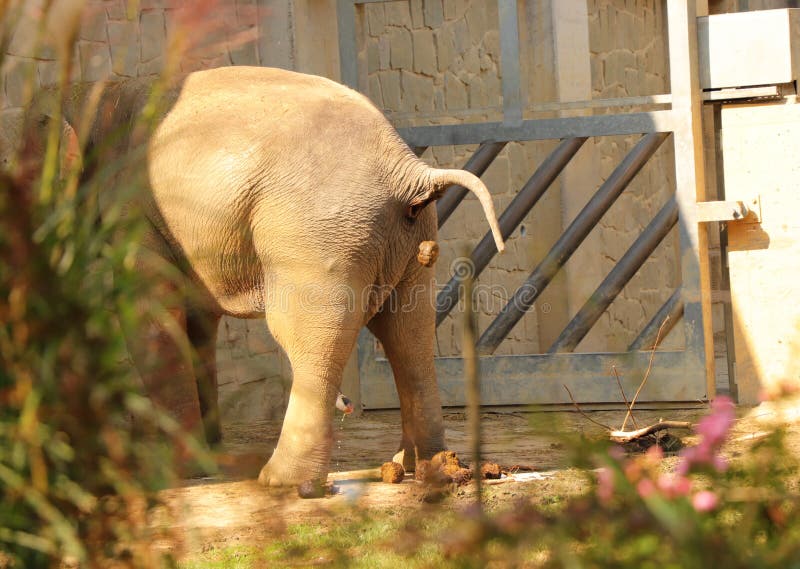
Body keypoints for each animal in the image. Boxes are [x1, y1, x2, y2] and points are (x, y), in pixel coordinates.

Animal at [7, 65, 506, 484]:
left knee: (308, 336)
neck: (90, 88)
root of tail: (413, 172)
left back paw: (282, 483)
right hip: (408, 239)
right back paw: (427, 469)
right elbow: (196, 321)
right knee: (408, 333)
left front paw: (181, 471)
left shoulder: (131, 210)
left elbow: (151, 315)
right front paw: (209, 458)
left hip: (315, 234)